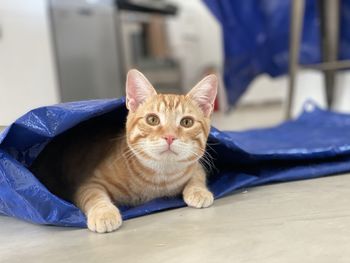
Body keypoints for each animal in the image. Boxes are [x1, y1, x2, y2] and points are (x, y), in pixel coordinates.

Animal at [33, 69, 219, 234]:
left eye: (187, 122)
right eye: (152, 119)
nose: (169, 137)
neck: (159, 176)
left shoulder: (196, 166)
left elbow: (197, 177)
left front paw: (199, 191)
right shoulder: (89, 183)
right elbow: (95, 197)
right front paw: (104, 213)